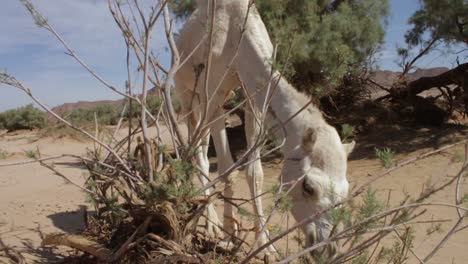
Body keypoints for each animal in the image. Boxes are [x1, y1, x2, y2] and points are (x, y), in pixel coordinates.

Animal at [175, 0, 354, 256]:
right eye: (308, 187)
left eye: (345, 192)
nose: (327, 249)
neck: (234, 31)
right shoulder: (215, 95)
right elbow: (228, 169)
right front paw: (229, 234)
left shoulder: (252, 97)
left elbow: (255, 172)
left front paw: (265, 246)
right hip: (187, 94)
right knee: (197, 154)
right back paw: (211, 226)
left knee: (203, 150)